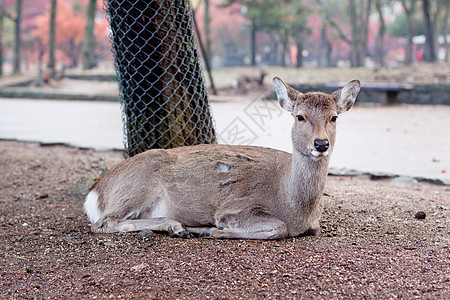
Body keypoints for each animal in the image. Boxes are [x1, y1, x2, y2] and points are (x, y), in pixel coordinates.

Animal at [83, 77, 358, 239]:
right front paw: (209, 229)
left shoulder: (313, 223)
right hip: (136, 185)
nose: (321, 143)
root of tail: (95, 192)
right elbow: (279, 228)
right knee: (101, 223)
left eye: (334, 117)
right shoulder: (235, 206)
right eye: (300, 116)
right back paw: (176, 225)